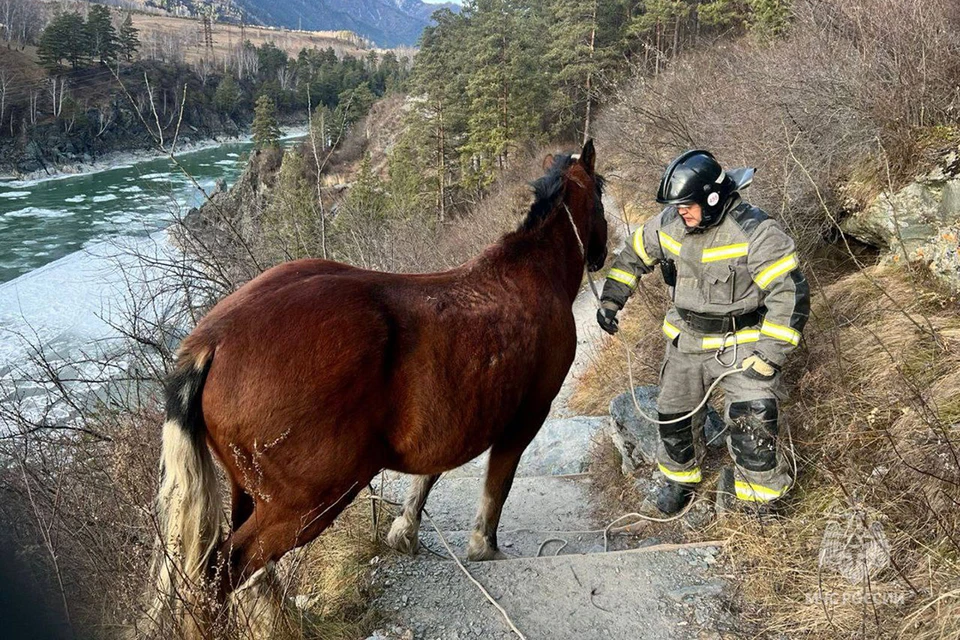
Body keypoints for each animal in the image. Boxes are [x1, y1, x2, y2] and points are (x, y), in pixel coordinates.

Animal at [154, 141, 608, 624]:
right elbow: (497, 486)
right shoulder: (527, 416)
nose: (601, 253)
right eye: (601, 195)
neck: (530, 273)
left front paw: (405, 529)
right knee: (226, 570)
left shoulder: (453, 417)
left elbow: (430, 473)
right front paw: (483, 545)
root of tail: (213, 340)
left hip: (249, 492)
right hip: (305, 504)